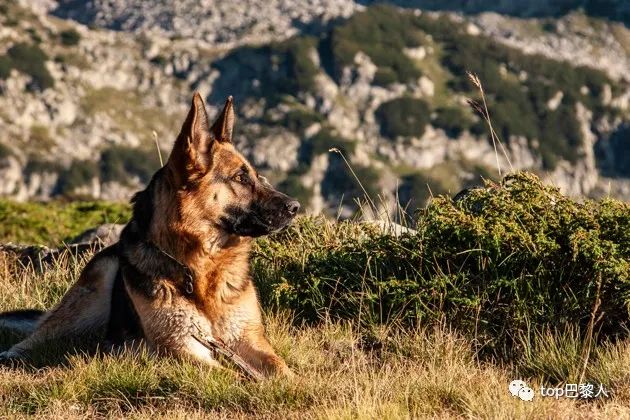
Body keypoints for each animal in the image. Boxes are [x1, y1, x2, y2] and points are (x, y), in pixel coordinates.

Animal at [0, 93, 300, 376]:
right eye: (240, 178)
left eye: (258, 176)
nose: (295, 207)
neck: (202, 268)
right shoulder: (181, 347)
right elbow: (235, 377)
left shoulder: (249, 340)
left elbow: (281, 371)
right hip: (90, 295)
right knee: (42, 334)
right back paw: (14, 354)